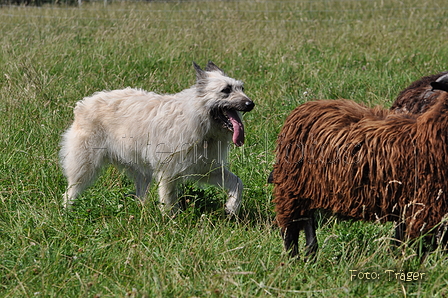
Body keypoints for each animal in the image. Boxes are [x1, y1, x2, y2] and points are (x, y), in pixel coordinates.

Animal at [60, 61, 256, 215]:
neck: (198, 119)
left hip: (140, 170)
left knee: (140, 193)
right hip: (84, 166)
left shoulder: (207, 169)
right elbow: (168, 201)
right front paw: (172, 223)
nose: (251, 104)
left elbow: (237, 183)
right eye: (226, 90)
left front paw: (231, 207)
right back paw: (67, 213)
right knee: (70, 190)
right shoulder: (169, 172)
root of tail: (83, 103)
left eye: (242, 88)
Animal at [272, 85, 448, 258]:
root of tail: (305, 107)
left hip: (307, 189)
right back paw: (295, 258)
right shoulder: (425, 206)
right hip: (291, 189)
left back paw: (310, 255)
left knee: (306, 223)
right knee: (291, 228)